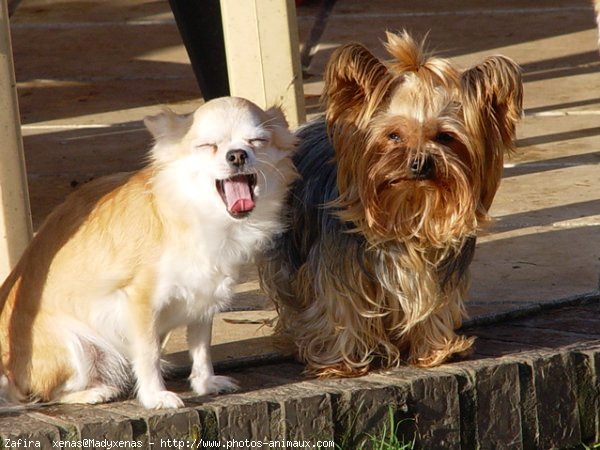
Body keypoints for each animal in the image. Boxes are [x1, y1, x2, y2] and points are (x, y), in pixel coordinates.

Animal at [0, 96, 296, 410]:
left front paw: (205, 383)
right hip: (76, 349)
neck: (198, 214)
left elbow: (201, 346)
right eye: (207, 146)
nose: (237, 155)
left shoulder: (204, 297)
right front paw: (155, 396)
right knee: (45, 394)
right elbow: (149, 353)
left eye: (257, 141)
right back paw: (94, 392)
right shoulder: (141, 303)